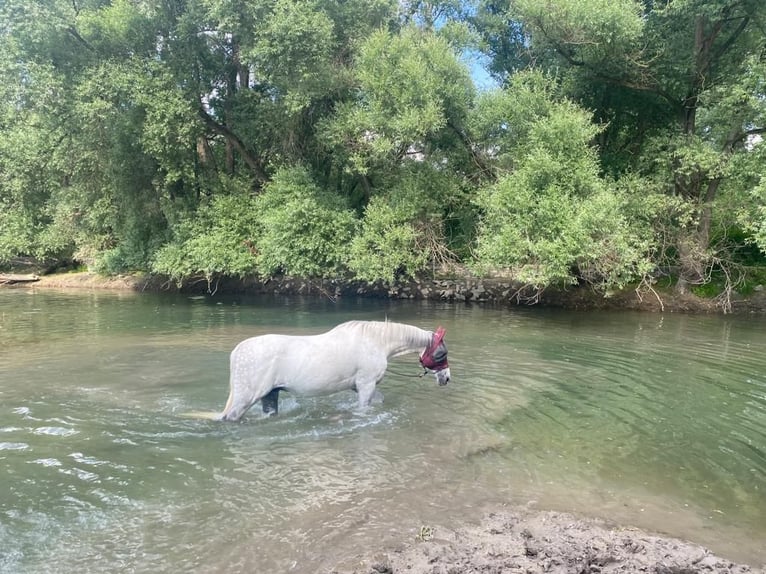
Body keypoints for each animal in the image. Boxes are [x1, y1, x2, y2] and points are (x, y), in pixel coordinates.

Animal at [202, 320, 450, 424]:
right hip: (246, 397)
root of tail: (237, 352)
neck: (376, 342)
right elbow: (364, 408)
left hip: (270, 395)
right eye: (441, 354)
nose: (446, 378)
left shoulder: (360, 387)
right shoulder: (366, 385)